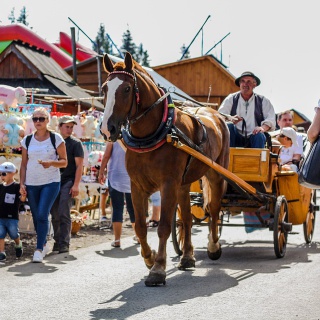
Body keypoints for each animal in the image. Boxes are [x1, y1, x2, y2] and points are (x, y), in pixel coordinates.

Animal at [101, 52, 229, 288]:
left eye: (126, 89)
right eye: (105, 88)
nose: (107, 129)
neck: (155, 133)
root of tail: (214, 114)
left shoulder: (168, 185)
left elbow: (162, 227)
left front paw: (158, 269)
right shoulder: (137, 186)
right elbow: (140, 227)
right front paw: (149, 258)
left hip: (216, 174)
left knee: (214, 209)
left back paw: (213, 246)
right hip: (184, 183)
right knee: (187, 218)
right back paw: (187, 256)